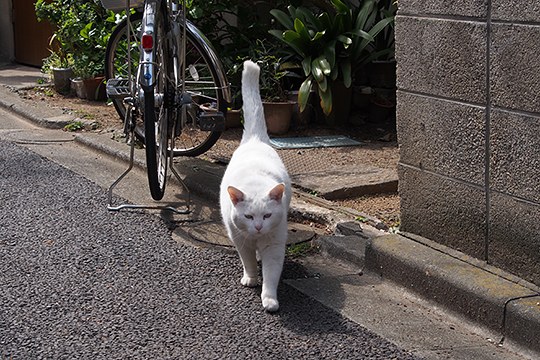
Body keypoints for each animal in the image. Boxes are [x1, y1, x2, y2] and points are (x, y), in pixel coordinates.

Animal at [220, 59, 292, 312]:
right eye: (249, 217)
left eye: (268, 215)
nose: (259, 227)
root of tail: (254, 139)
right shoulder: (240, 240)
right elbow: (248, 261)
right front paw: (250, 278)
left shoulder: (275, 245)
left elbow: (271, 274)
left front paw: (269, 299)